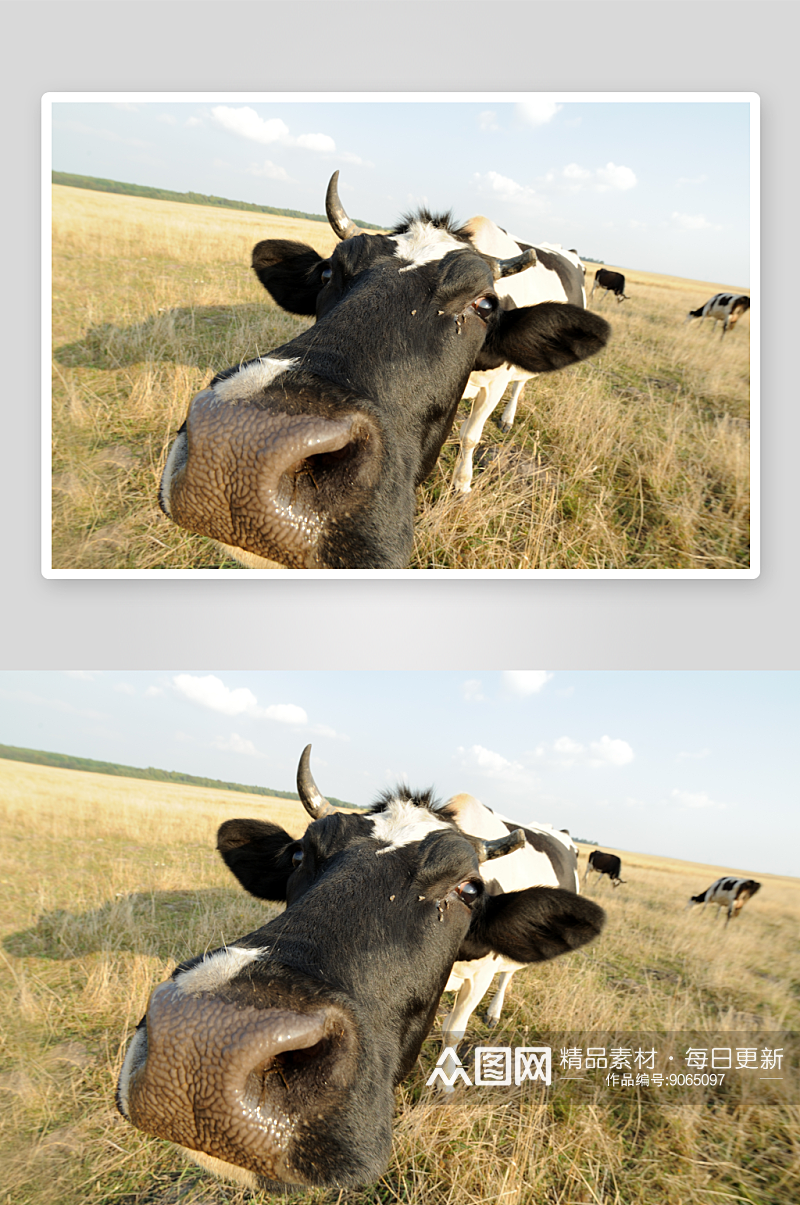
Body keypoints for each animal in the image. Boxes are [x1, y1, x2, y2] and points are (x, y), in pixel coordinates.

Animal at [118, 747, 602, 1190]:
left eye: (468, 889)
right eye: (298, 855)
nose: (201, 1041)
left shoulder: (479, 974)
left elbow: (454, 1029)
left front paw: (446, 1083)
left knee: (509, 975)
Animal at [156, 171, 609, 568]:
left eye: (484, 304)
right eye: (327, 271)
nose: (240, 445)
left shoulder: (494, 382)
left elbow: (470, 434)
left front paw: (462, 485)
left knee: (520, 388)